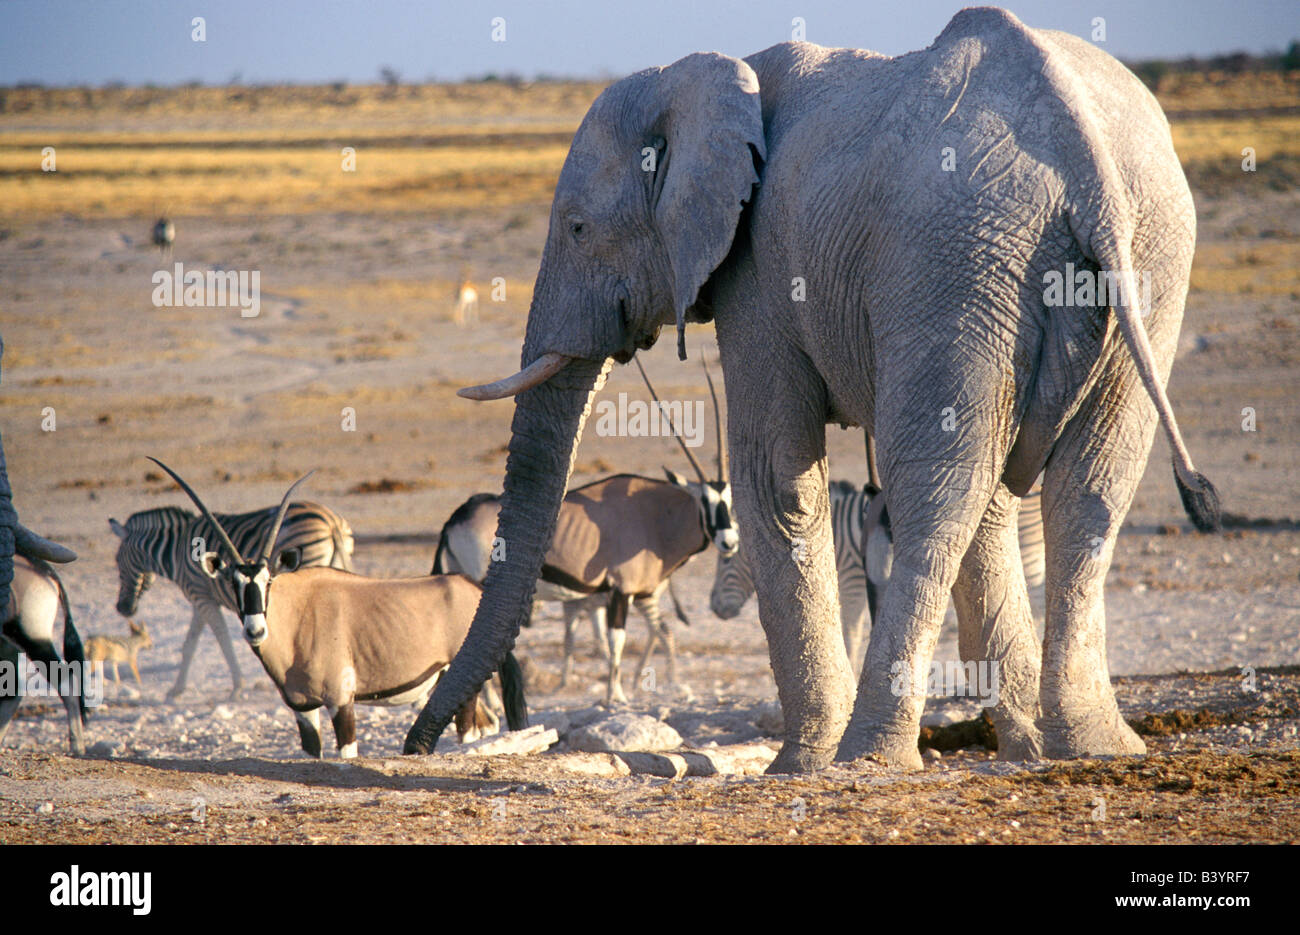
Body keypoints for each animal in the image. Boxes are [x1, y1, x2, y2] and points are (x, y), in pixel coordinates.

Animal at [108, 501, 353, 697]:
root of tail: (331, 522)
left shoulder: (201, 596)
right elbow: (190, 643)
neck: (175, 547)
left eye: (118, 560)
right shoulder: (201, 599)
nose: (123, 608)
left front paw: (237, 686)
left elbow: (222, 638)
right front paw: (176, 689)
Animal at [146, 460, 522, 759]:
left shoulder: (342, 701)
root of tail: (472, 589)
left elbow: (347, 754)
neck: (296, 615)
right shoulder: (303, 708)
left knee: (470, 731)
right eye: (234, 582)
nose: (255, 630)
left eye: (269, 581)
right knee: (485, 724)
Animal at [405, 5, 1216, 775]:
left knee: (935, 497)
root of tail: (1085, 158)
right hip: (1146, 258)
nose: (419, 746)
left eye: (577, 228)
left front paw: (798, 765)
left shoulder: (760, 269)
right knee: (1082, 490)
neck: (696, 78)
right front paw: (1026, 743)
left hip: (956, 262)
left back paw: (872, 755)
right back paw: (1091, 747)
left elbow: (775, 477)